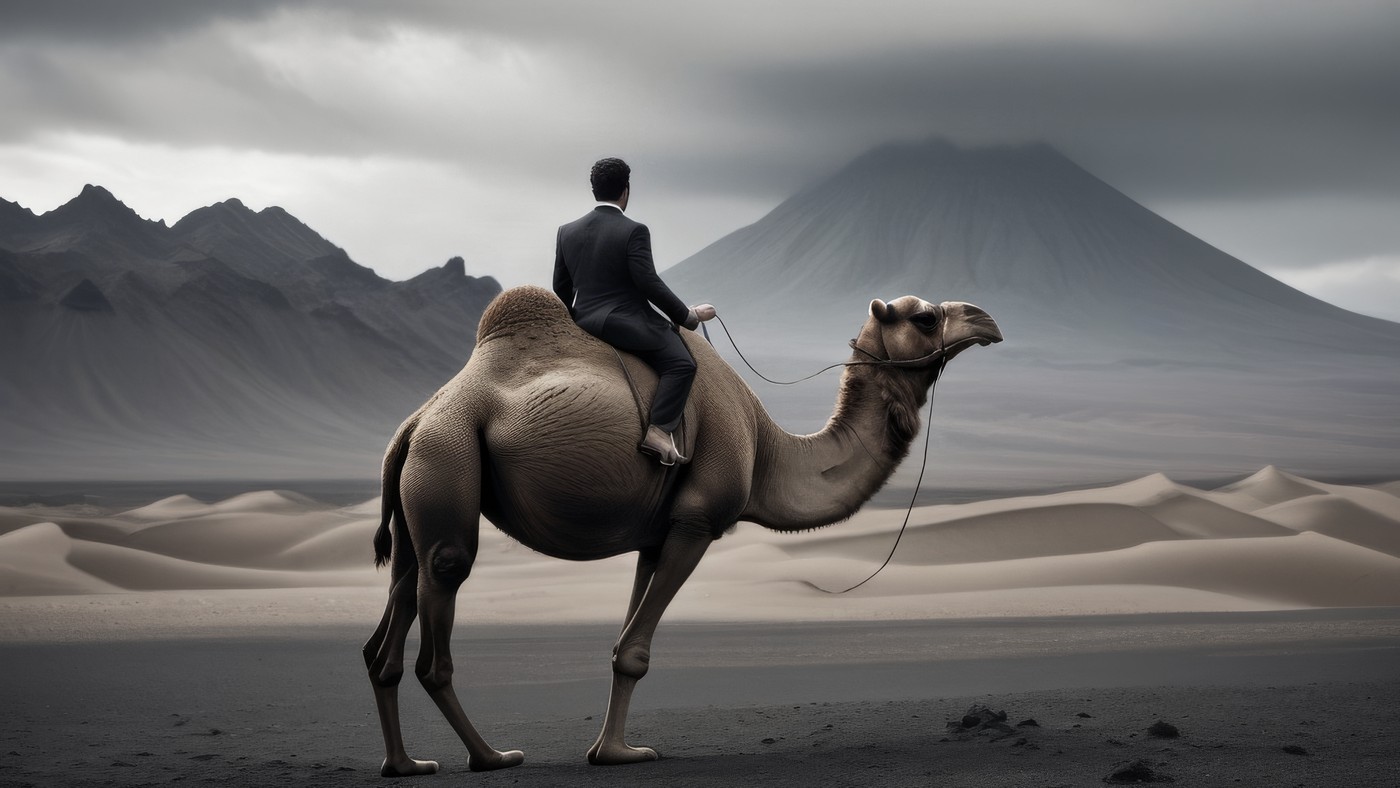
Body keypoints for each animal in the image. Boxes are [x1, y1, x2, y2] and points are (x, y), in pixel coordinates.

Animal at [362, 284, 1002, 774]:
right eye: (924, 316)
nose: (987, 319)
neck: (765, 448)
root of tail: (416, 420)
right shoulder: (697, 520)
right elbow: (635, 652)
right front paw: (617, 755)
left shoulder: (655, 533)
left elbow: (622, 640)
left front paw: (609, 747)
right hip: (448, 457)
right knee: (441, 599)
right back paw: (490, 757)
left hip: (422, 481)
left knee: (393, 615)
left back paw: (404, 764)